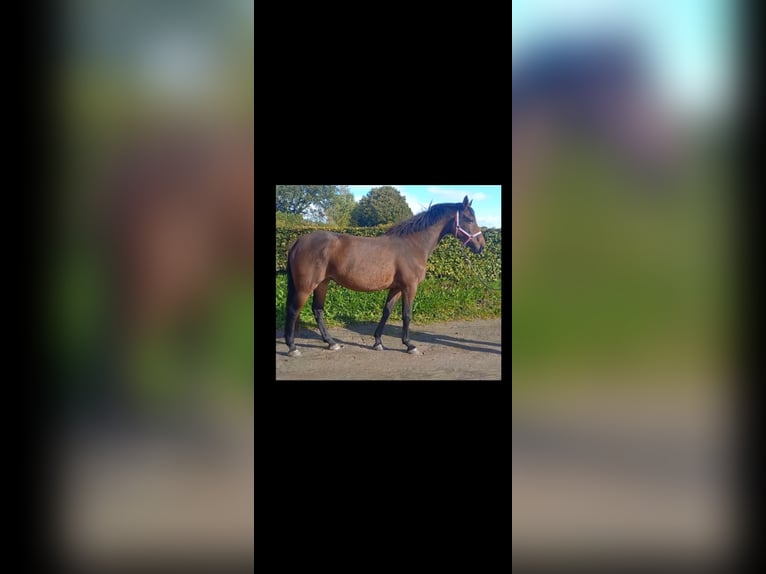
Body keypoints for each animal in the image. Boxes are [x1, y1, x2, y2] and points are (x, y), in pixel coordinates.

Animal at [282, 198, 486, 360]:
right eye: (469, 219)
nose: (481, 246)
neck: (413, 245)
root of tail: (298, 241)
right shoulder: (409, 287)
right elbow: (407, 314)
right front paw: (410, 345)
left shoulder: (396, 288)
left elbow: (386, 312)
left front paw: (378, 342)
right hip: (305, 286)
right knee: (293, 310)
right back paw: (292, 347)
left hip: (322, 284)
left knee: (317, 310)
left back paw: (331, 342)